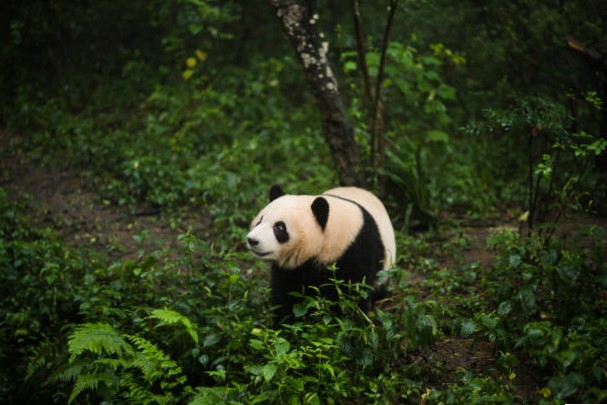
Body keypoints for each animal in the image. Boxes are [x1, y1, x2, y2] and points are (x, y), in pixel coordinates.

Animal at [247, 185, 400, 326]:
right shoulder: (290, 269)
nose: (252, 240)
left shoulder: (357, 249)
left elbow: (351, 295)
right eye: (259, 221)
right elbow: (285, 294)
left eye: (279, 227)